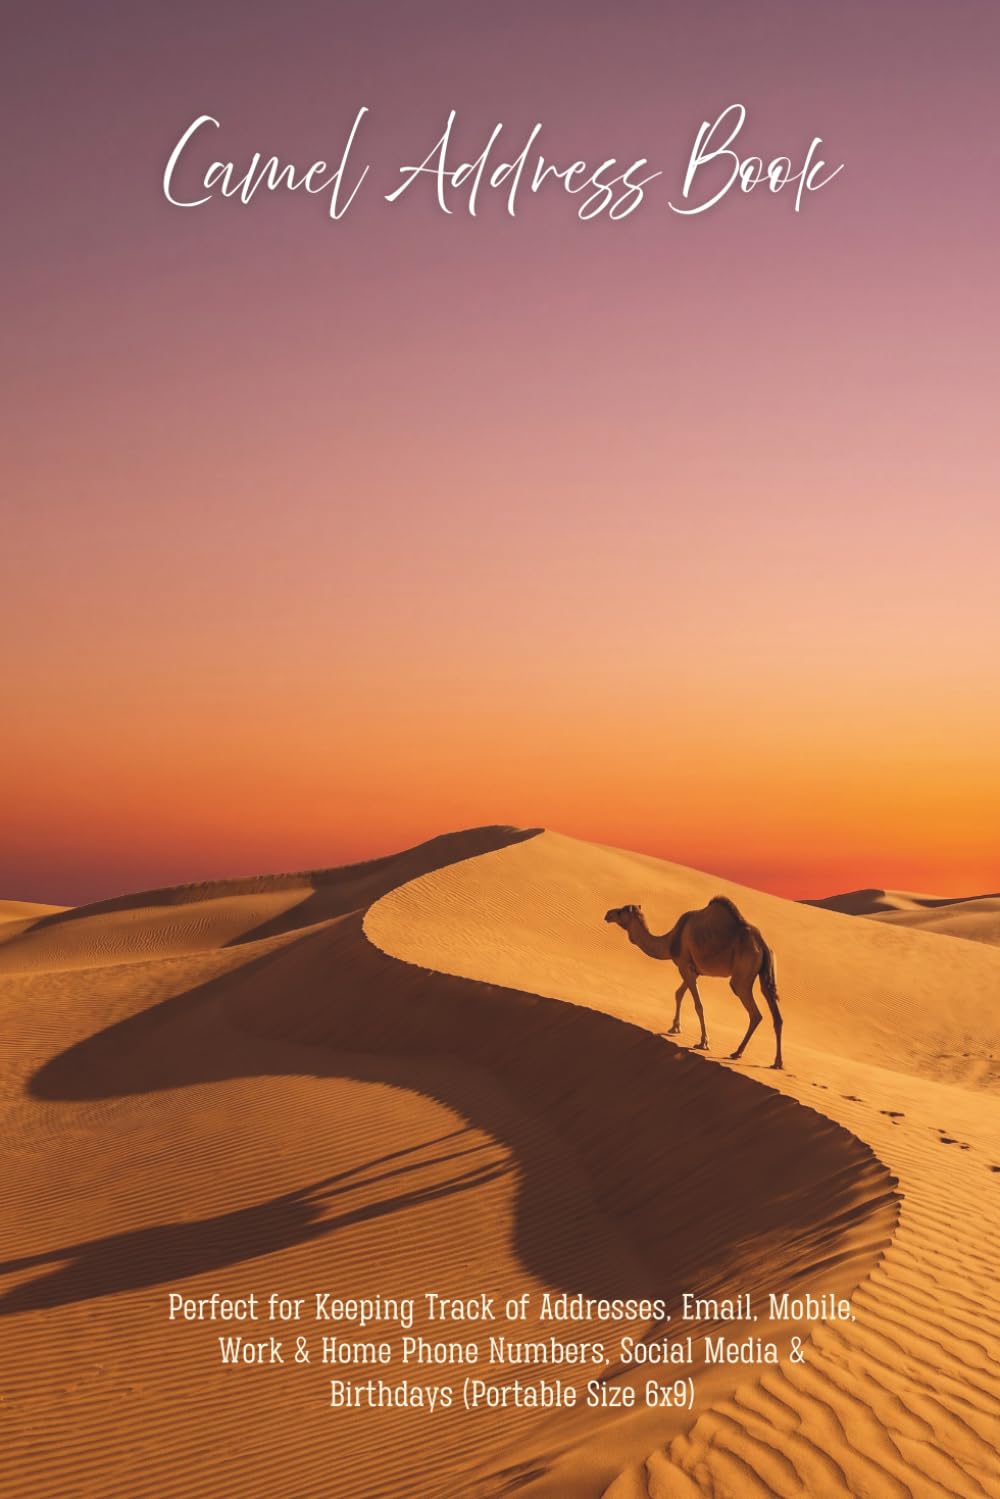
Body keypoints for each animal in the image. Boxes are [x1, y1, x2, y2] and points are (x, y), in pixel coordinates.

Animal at [604, 896, 783, 1068]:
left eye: (620, 911)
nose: (607, 914)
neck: (671, 940)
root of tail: (762, 945)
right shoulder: (694, 970)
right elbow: (679, 993)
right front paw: (675, 1027)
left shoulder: (684, 965)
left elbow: (698, 1005)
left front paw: (703, 1042)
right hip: (765, 974)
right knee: (775, 1013)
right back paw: (777, 1062)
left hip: (742, 976)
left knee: (755, 1013)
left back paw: (737, 1052)